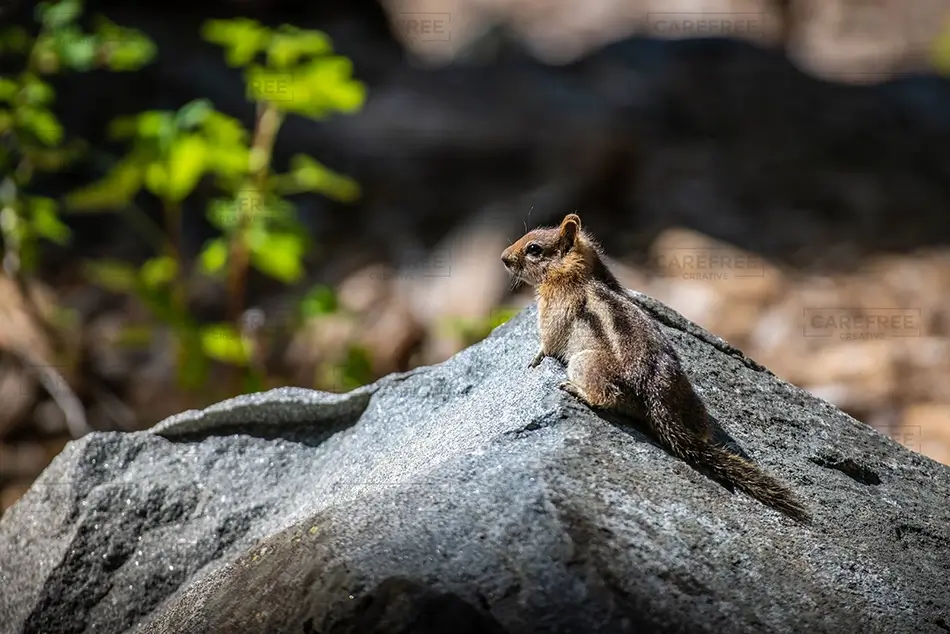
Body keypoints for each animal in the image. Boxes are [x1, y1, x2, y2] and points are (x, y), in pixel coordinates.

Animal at [501, 213, 811, 523]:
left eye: (534, 249)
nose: (504, 258)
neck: (580, 271)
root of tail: (654, 396)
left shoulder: (555, 306)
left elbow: (549, 339)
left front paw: (536, 355)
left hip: (584, 362)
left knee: (606, 397)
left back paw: (576, 389)